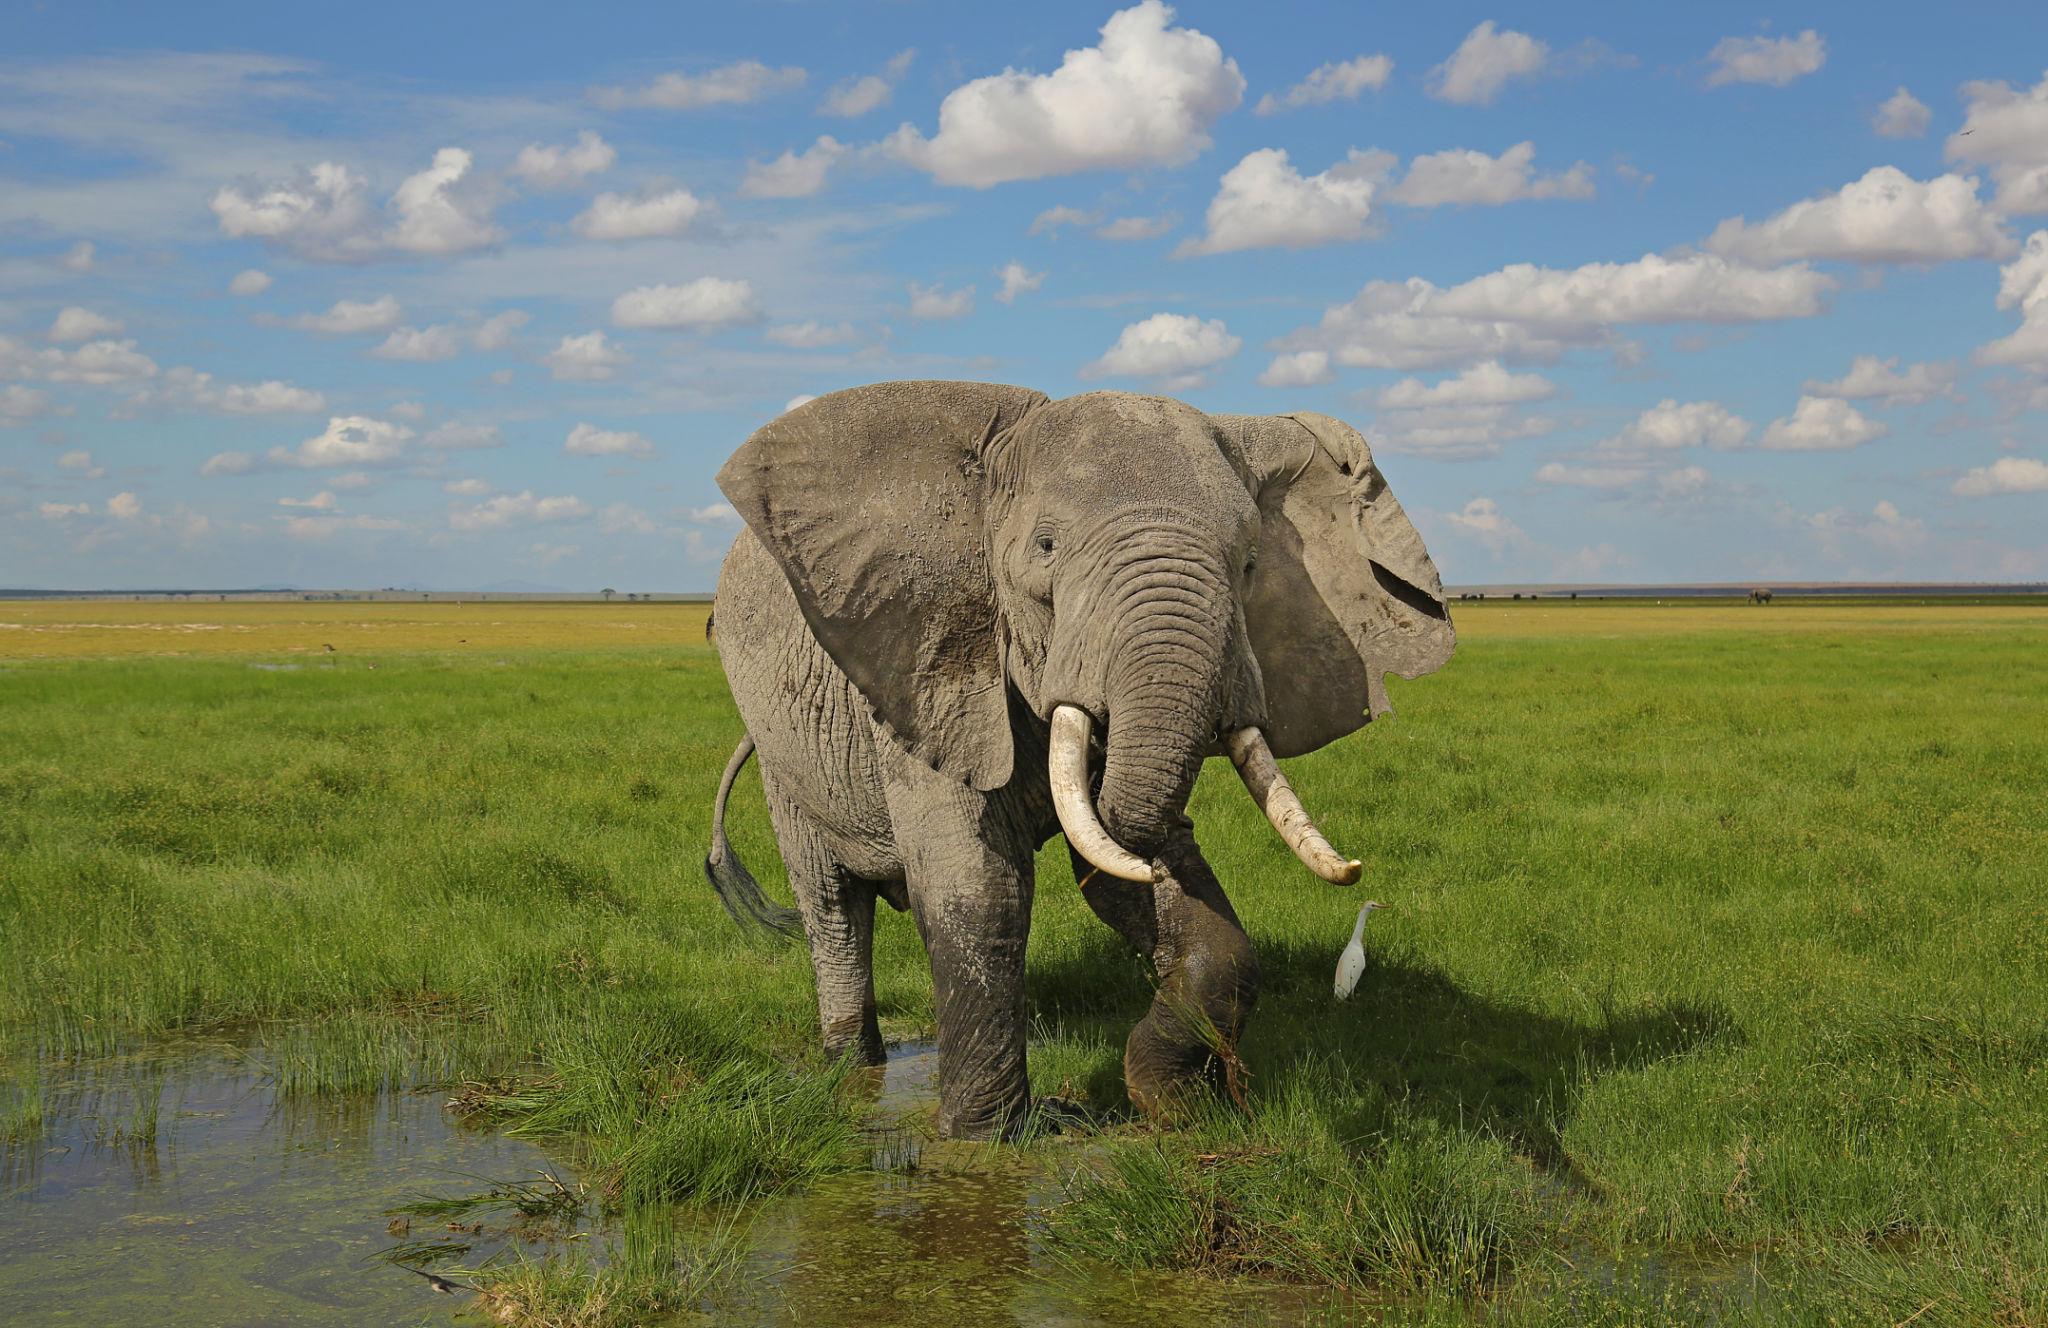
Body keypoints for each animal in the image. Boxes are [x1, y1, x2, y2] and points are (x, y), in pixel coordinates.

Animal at [703, 381, 1454, 1139]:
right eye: (1046, 547)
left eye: (1249, 564)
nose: (1220, 1086)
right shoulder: (928, 666)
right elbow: (980, 891)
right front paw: (987, 1140)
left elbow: (1156, 885)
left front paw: (1171, 1099)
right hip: (778, 744)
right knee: (831, 905)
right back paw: (852, 1067)